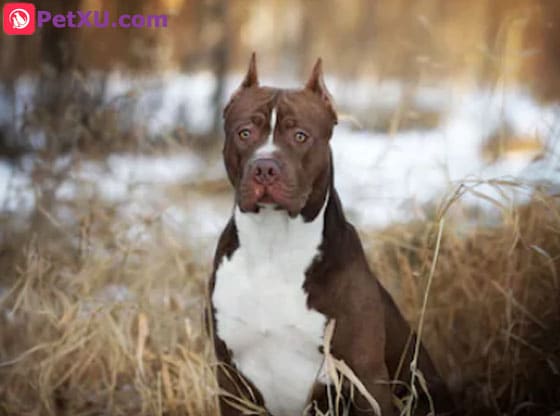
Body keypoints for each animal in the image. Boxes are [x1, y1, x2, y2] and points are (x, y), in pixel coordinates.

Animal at [208, 55, 452, 416]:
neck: (273, 245)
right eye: (245, 133)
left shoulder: (363, 378)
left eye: (300, 135)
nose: (264, 168)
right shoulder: (230, 379)